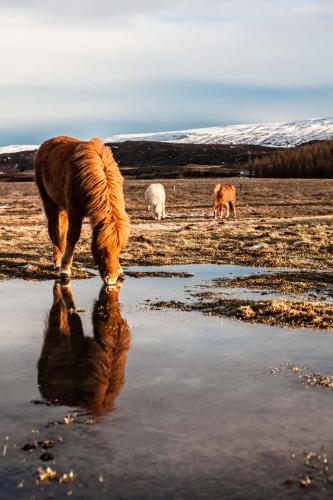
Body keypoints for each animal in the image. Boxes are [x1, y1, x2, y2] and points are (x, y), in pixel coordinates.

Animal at [34, 137, 129, 286]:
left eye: (120, 249)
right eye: (102, 250)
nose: (112, 280)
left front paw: (119, 269)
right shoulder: (75, 210)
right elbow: (73, 237)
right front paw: (65, 270)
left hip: (62, 206)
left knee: (61, 231)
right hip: (49, 202)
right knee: (54, 230)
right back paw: (58, 261)